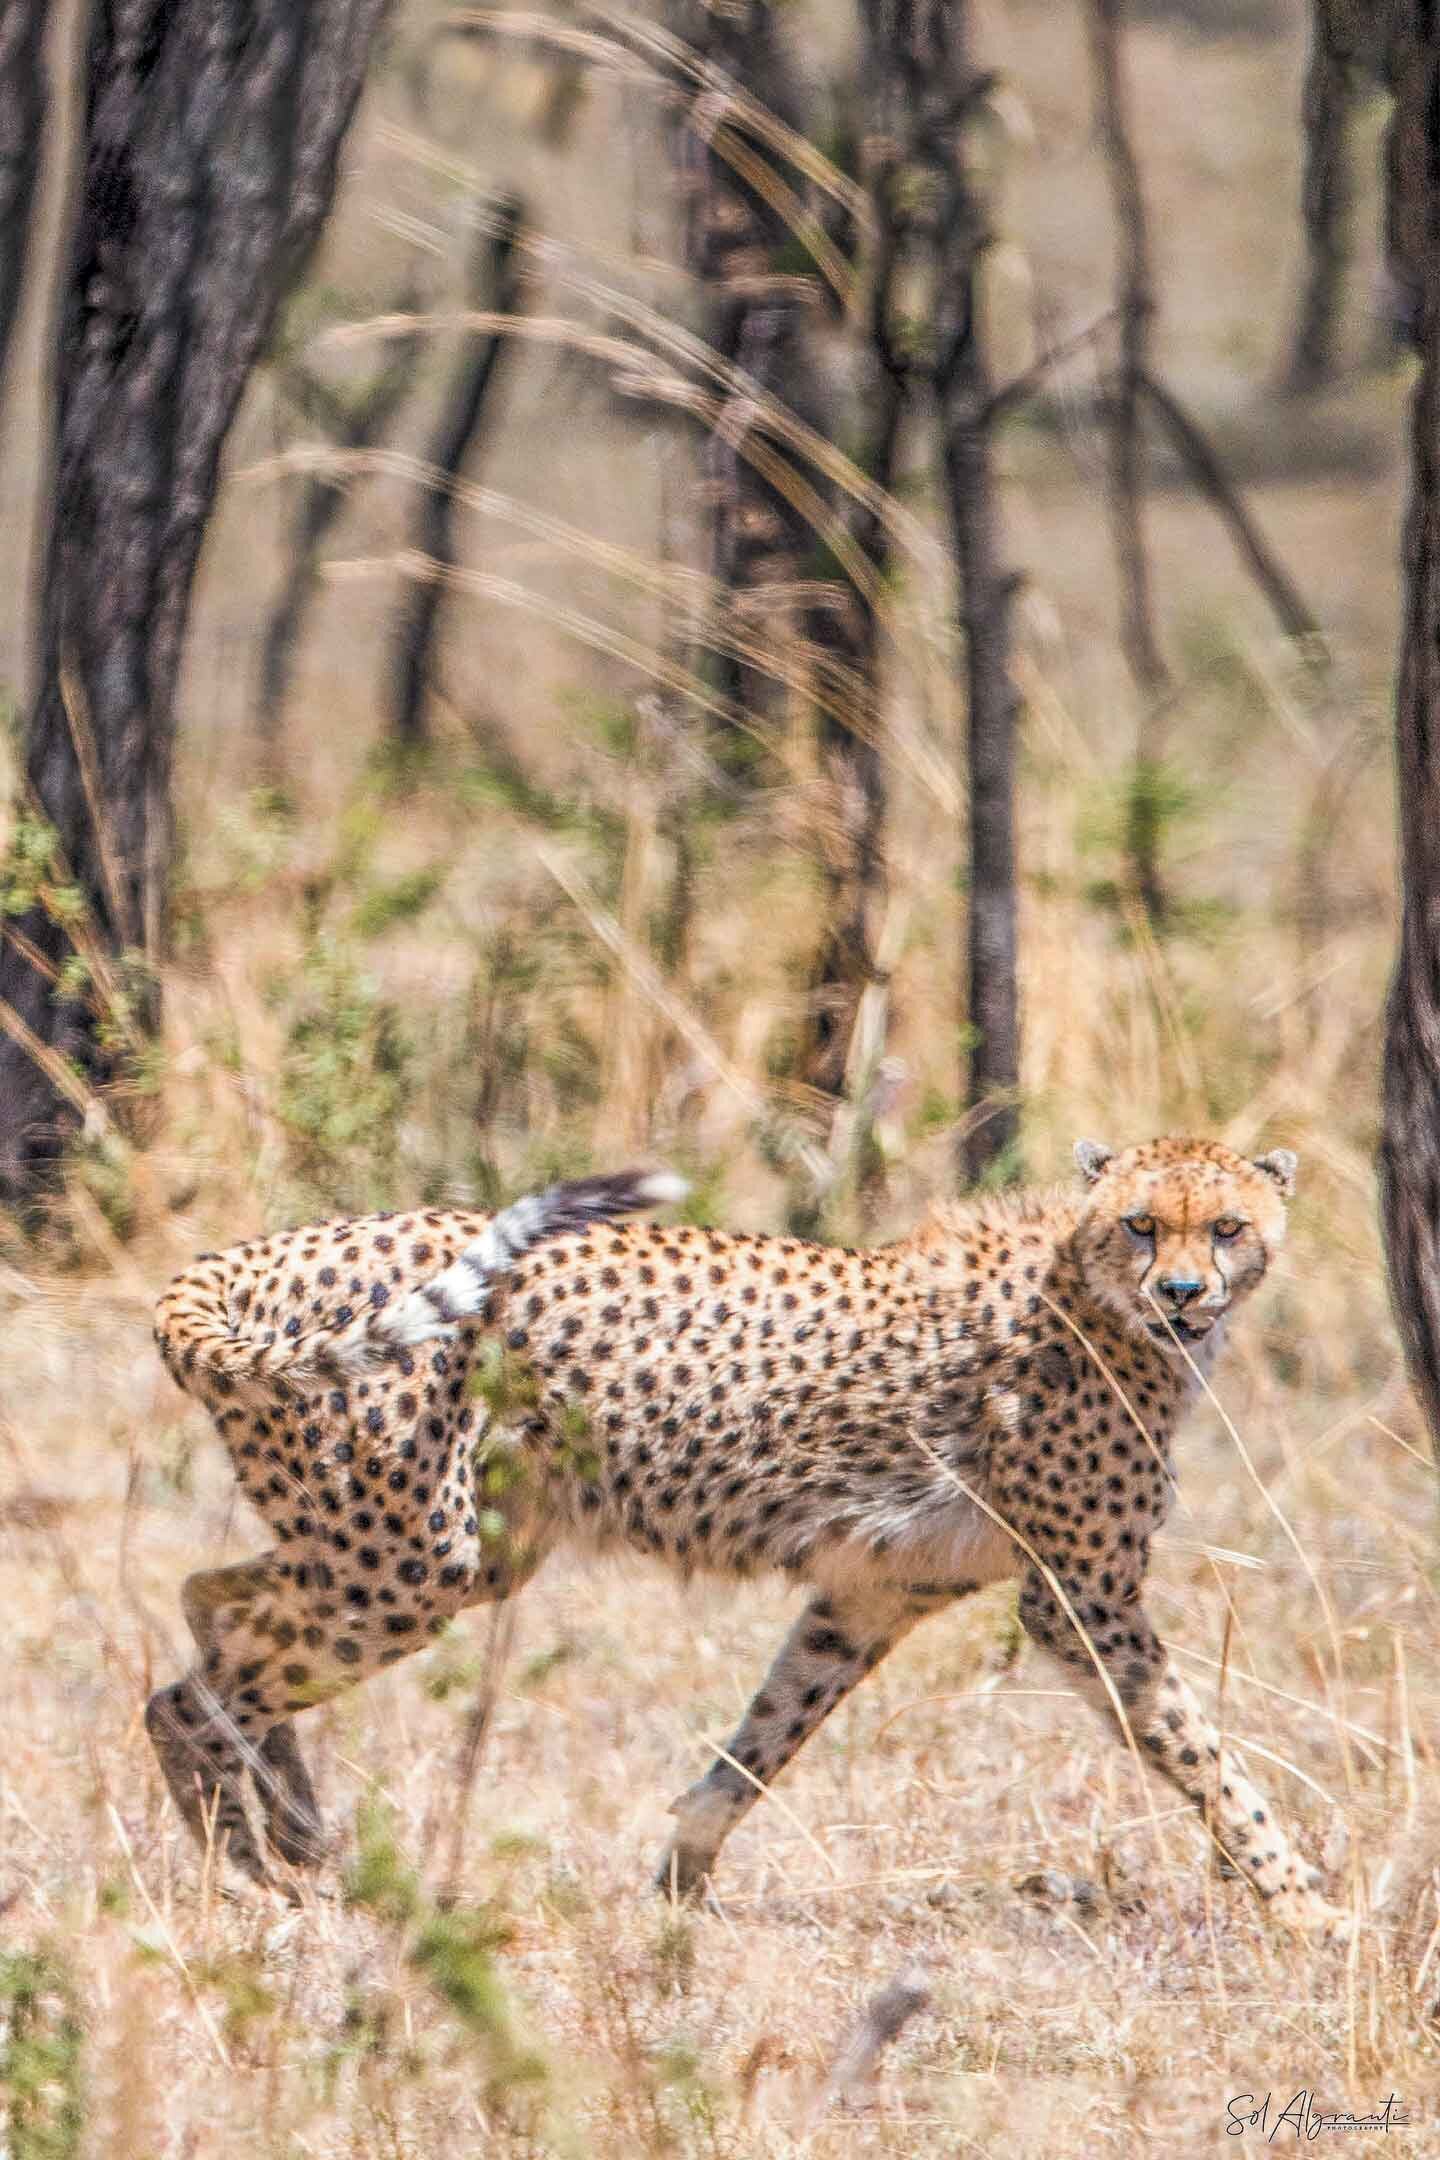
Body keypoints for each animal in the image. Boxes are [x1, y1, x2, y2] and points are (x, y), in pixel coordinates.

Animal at [152, 1140, 1347, 1935]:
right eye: (1141, 1224)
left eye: (1228, 1227)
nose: (1184, 1291)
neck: (1097, 1297)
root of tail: (272, 1245)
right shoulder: (1079, 1598)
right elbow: (1201, 1751)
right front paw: (1307, 1908)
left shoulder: (874, 1592)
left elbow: (767, 1736)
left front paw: (680, 1881)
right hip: (410, 1560)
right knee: (190, 1694)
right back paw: (251, 1876)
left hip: (430, 1548)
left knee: (210, 1604)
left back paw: (293, 1827)